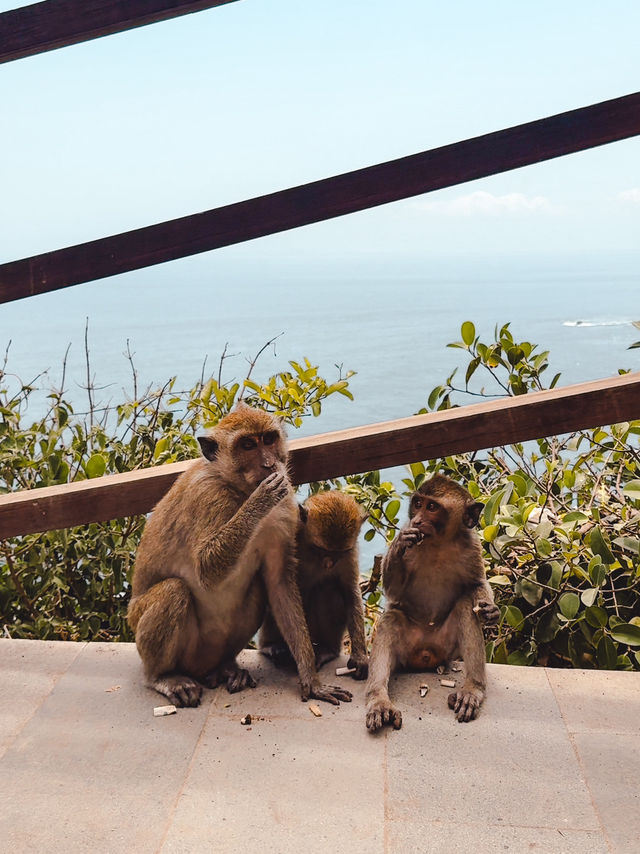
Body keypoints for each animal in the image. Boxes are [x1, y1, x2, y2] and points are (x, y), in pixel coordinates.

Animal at [125, 404, 350, 712]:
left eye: (268, 439)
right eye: (247, 445)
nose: (268, 464)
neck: (238, 490)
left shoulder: (284, 511)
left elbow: (279, 582)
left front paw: (311, 680)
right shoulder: (208, 498)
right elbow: (206, 569)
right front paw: (261, 499)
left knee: (256, 589)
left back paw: (226, 668)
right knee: (173, 590)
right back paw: (163, 677)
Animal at [260, 488, 368, 684]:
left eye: (339, 552)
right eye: (321, 549)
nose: (329, 564)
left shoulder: (350, 554)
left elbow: (349, 590)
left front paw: (360, 656)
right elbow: (279, 584)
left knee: (328, 590)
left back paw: (326, 650)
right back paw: (272, 646)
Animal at [362, 472, 498, 732]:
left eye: (432, 507)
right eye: (417, 503)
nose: (417, 520)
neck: (438, 542)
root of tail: (426, 656)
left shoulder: (472, 545)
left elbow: (475, 584)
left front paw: (491, 611)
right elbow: (393, 591)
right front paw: (400, 544)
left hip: (447, 648)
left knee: (465, 609)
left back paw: (472, 689)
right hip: (406, 650)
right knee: (391, 619)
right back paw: (378, 700)